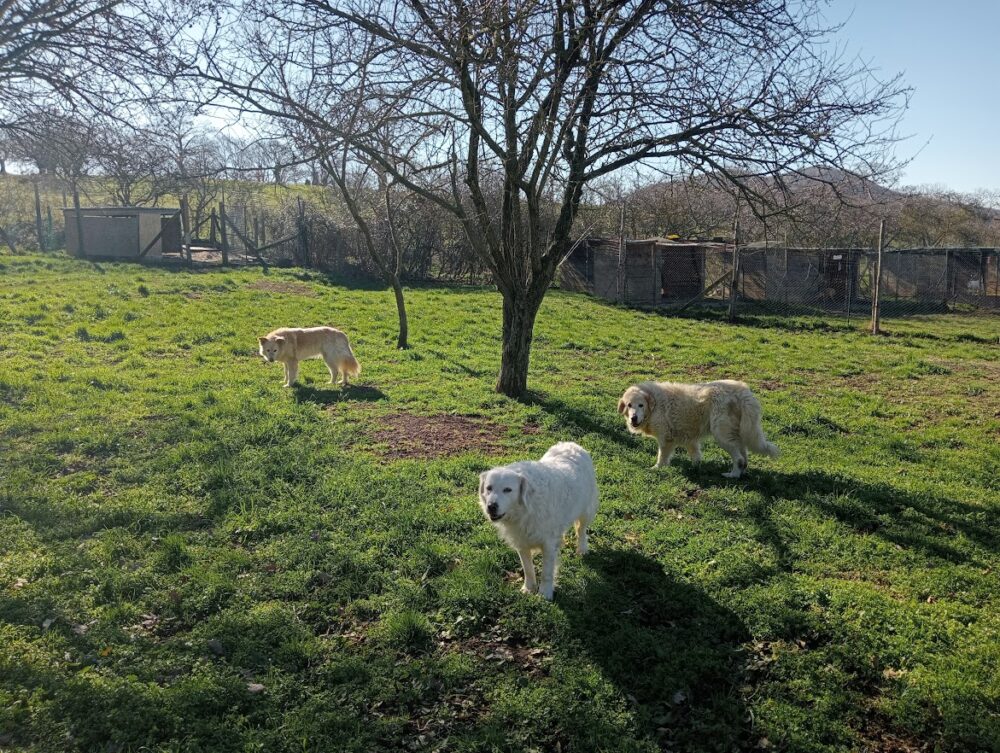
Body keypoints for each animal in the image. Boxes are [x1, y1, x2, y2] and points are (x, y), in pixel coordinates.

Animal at [478, 440, 596, 600]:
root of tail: (571, 443)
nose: (491, 507)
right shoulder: (521, 542)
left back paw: (582, 549)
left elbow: (547, 572)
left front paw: (545, 593)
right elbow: (527, 568)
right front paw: (529, 588)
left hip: (585, 510)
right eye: (489, 488)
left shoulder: (548, 543)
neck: (526, 508)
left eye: (508, 490)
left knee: (581, 530)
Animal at [616, 378, 780, 478]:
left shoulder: (666, 438)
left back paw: (732, 475)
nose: (633, 418)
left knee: (739, 458)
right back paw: (741, 473)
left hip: (722, 435)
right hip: (735, 433)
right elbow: (695, 455)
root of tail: (743, 392)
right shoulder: (690, 439)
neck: (654, 405)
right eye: (629, 405)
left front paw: (657, 468)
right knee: (744, 456)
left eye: (640, 405)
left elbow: (662, 456)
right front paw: (695, 468)